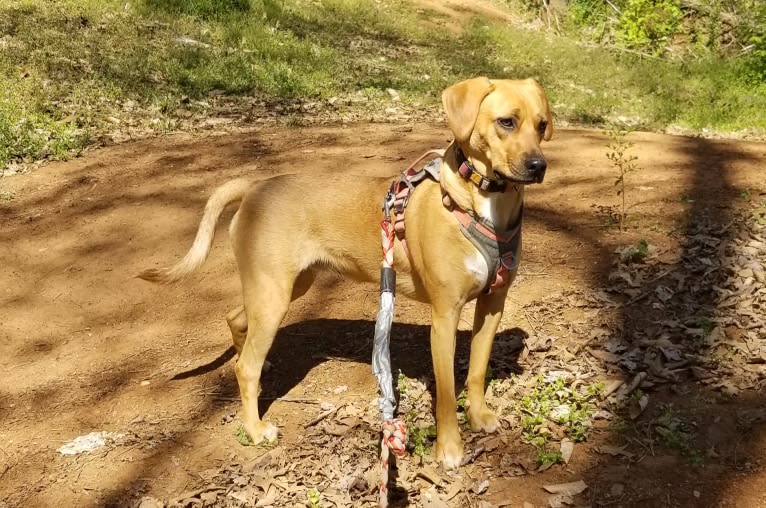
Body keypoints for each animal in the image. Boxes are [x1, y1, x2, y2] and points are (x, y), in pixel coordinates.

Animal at [141, 77, 552, 470]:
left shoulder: (492, 304)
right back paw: (255, 428)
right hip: (274, 294)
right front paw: (449, 448)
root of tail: (256, 186)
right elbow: (447, 393)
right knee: (245, 366)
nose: (539, 166)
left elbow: (478, 370)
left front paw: (479, 416)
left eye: (542, 124)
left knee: (236, 320)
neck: (483, 203)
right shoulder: (445, 315)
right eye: (506, 122)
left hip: (287, 287)